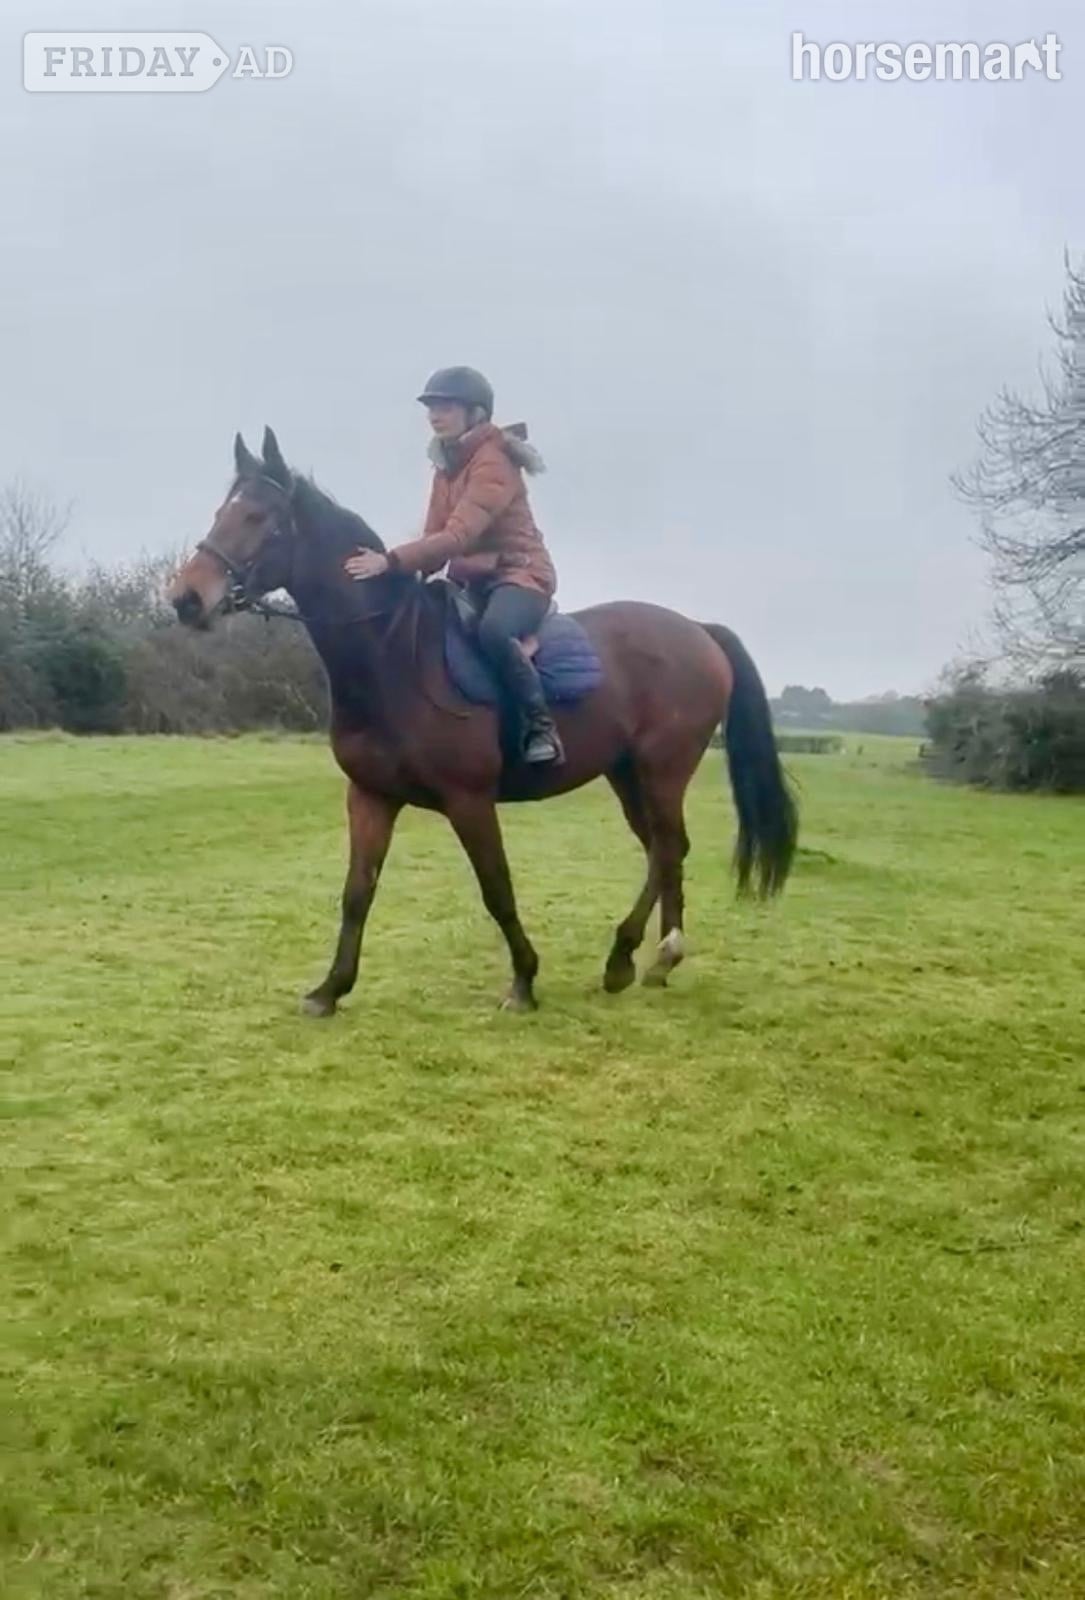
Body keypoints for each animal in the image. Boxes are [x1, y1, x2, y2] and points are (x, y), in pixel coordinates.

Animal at [168, 428, 798, 1014]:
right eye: (223, 512)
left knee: (667, 846)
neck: (393, 654)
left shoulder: (468, 800)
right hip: (626, 774)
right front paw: (330, 989)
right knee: (663, 851)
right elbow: (357, 893)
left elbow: (497, 889)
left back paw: (651, 952)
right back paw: (643, 961)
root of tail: (699, 631)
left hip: (662, 769)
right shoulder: (371, 796)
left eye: (258, 517)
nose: (186, 599)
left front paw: (523, 981)